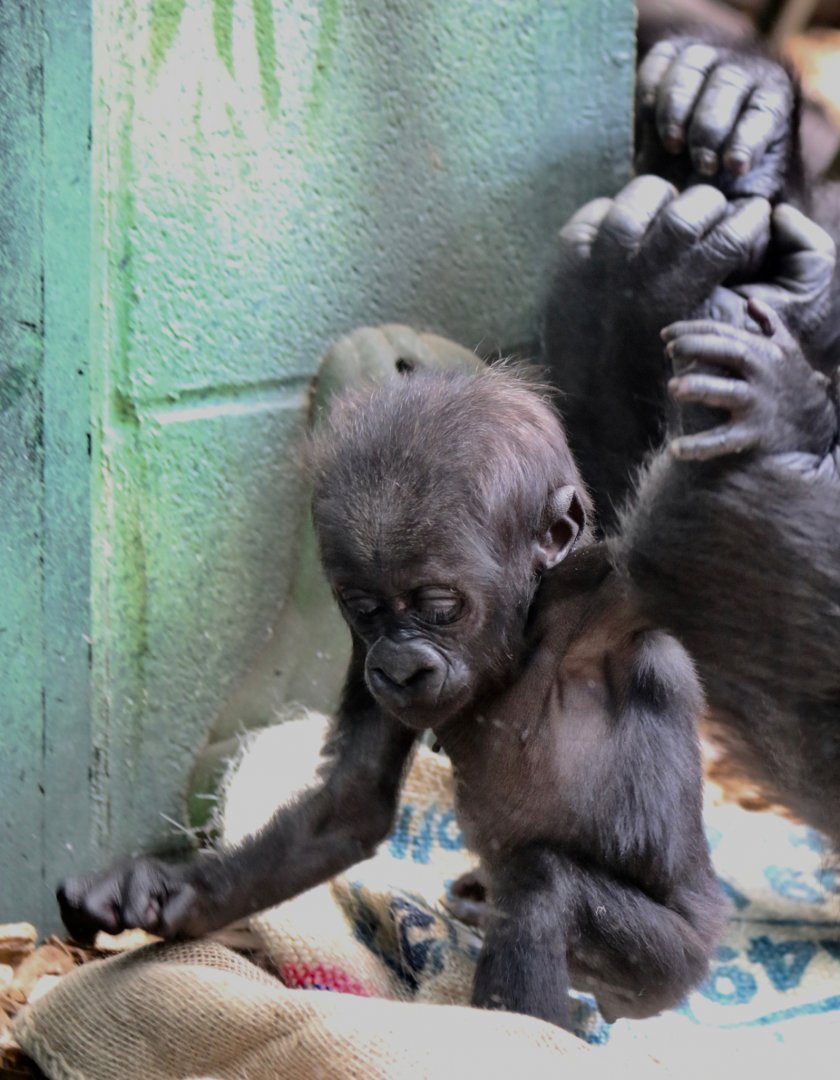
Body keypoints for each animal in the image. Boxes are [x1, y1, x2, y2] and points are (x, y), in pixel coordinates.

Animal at [57, 365, 724, 1030]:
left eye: (439, 603)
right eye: (364, 606)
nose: (400, 667)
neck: (520, 638)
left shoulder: (591, 605)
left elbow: (678, 556)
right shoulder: (361, 654)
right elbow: (351, 804)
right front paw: (165, 893)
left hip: (671, 962)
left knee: (543, 887)